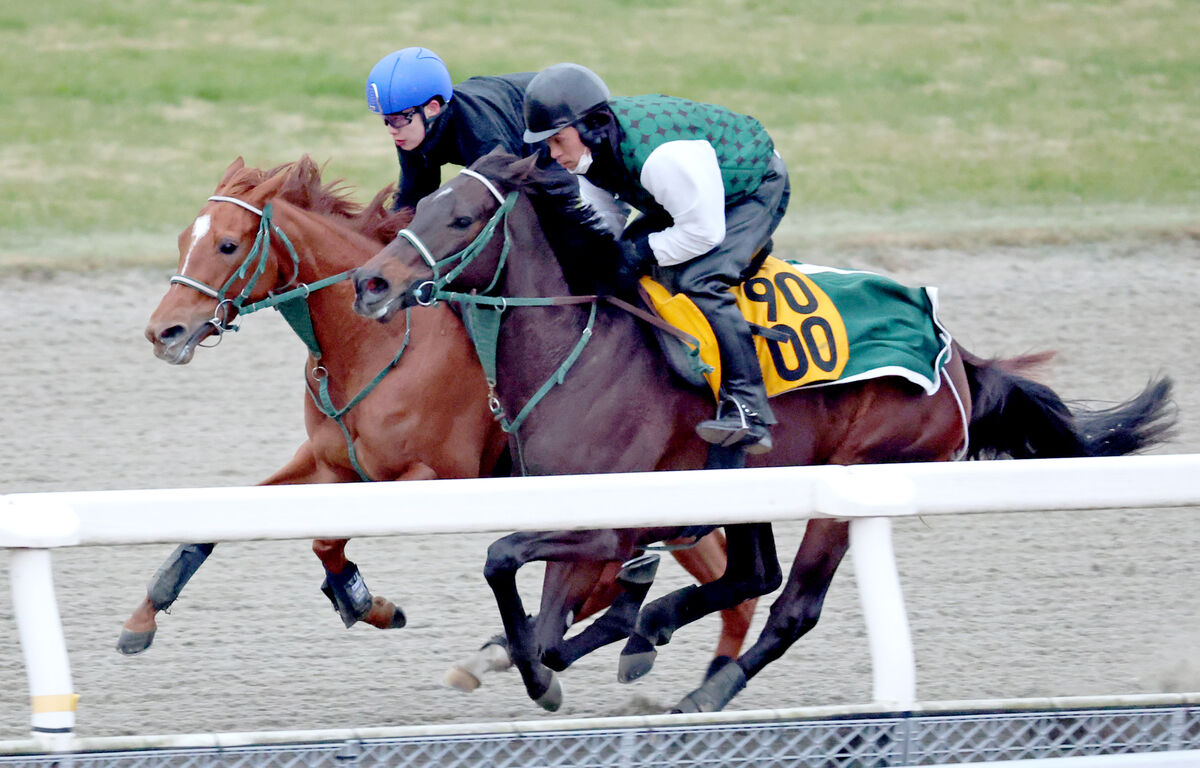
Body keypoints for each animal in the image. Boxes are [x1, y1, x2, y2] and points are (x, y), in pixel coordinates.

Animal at [121, 154, 758, 681]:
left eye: (229, 246)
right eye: (183, 239)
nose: (162, 332)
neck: (374, 345)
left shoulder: (435, 475)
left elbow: (326, 538)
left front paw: (365, 602)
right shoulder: (331, 464)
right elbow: (229, 519)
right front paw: (142, 617)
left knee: (723, 581)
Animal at [350, 151, 1176, 715]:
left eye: (460, 218)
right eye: (418, 208)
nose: (371, 283)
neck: (584, 351)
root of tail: (954, 354)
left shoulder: (613, 523)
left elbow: (514, 578)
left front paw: (539, 674)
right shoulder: (574, 510)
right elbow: (530, 598)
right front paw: (535, 658)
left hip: (855, 479)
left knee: (792, 607)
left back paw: (705, 692)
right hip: (757, 478)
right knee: (752, 575)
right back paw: (656, 635)